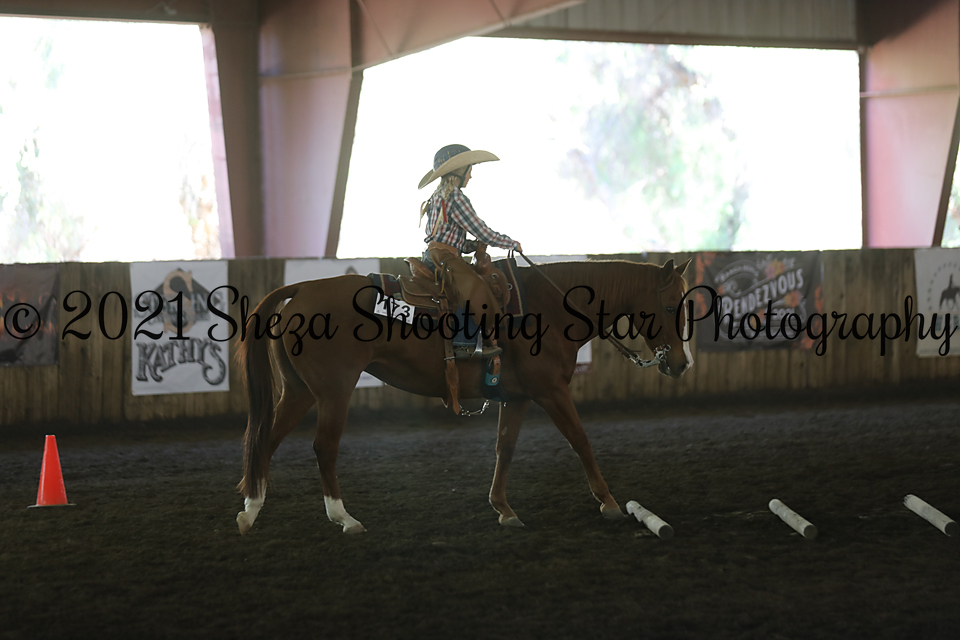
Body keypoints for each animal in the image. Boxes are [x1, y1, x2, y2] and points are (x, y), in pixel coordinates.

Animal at [235, 258, 693, 534]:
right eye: (672, 306)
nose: (681, 364)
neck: (549, 308)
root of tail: (303, 289)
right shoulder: (551, 391)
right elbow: (580, 440)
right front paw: (610, 502)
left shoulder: (518, 397)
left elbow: (504, 448)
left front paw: (503, 508)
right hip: (334, 391)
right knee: (323, 447)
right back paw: (343, 517)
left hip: (298, 391)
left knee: (267, 440)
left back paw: (250, 510)